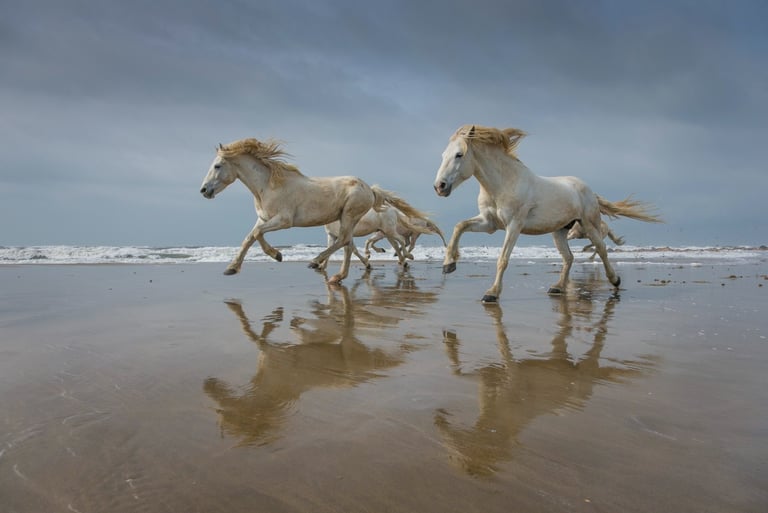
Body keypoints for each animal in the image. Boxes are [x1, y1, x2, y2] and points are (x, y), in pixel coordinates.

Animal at [199, 137, 404, 284]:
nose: (203, 190)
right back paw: (337, 277)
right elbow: (249, 238)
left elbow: (257, 234)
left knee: (344, 241)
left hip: (349, 215)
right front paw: (232, 268)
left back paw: (315, 262)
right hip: (347, 219)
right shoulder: (263, 219)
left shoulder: (283, 220)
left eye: (217, 166)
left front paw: (277, 255)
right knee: (347, 244)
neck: (268, 186)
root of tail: (369, 189)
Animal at [433, 125, 662, 302]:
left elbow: (503, 259)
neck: (503, 184)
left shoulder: (514, 225)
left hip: (589, 225)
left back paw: (615, 280)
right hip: (559, 231)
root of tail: (588, 190)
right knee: (569, 257)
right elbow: (459, 226)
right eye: (443, 155)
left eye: (459, 155)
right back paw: (557, 287)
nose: (439, 187)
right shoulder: (489, 223)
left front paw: (491, 294)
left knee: (602, 249)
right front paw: (448, 265)